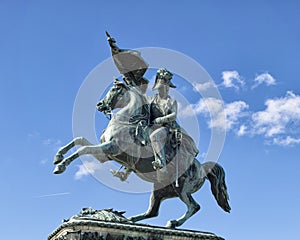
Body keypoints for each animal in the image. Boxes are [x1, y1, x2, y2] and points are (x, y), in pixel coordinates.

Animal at [52, 79, 231, 228]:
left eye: (114, 89)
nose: (100, 104)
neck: (125, 122)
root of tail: (203, 168)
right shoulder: (104, 154)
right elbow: (80, 140)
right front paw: (58, 157)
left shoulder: (110, 148)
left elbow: (83, 149)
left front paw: (61, 166)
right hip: (160, 190)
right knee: (153, 211)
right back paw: (130, 220)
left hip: (182, 189)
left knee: (194, 206)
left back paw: (172, 223)